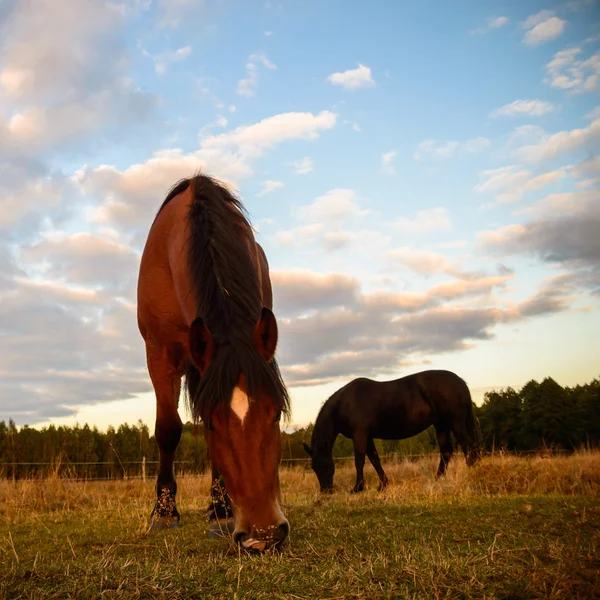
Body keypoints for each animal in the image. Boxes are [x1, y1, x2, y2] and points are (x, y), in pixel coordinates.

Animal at [139, 171, 292, 552]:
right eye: (211, 423)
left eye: (276, 415)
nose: (263, 535)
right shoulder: (159, 354)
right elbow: (168, 429)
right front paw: (164, 514)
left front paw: (221, 514)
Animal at [302, 370, 480, 492]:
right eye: (314, 467)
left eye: (325, 465)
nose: (326, 491)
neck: (345, 403)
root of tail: (460, 382)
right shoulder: (367, 437)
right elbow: (375, 460)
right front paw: (382, 485)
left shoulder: (359, 434)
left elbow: (359, 461)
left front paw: (358, 488)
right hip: (441, 425)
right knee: (447, 451)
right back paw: (438, 479)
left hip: (455, 423)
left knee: (468, 446)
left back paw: (471, 475)